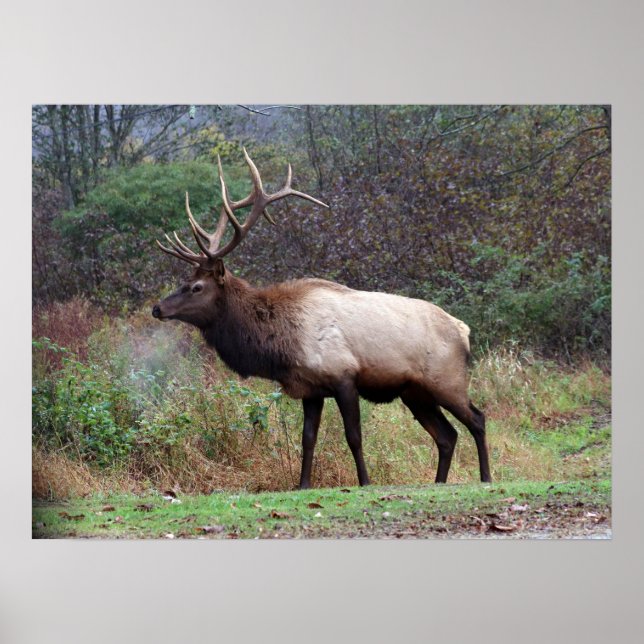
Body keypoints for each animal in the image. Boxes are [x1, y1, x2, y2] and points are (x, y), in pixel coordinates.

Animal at [152, 149, 491, 488]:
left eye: (196, 286)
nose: (157, 308)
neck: (281, 345)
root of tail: (464, 330)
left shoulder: (344, 376)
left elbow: (353, 437)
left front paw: (364, 482)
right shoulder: (311, 389)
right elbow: (308, 438)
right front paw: (302, 484)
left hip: (446, 379)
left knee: (477, 419)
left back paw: (486, 477)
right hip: (415, 393)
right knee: (447, 436)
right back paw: (439, 482)